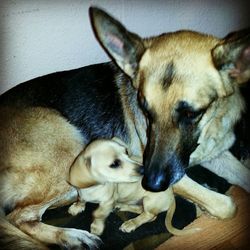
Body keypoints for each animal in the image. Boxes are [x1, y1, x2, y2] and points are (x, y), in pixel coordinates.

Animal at [67, 139, 198, 236]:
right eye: (115, 164)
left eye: (126, 152)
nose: (144, 170)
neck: (93, 187)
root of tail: (172, 196)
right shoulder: (81, 193)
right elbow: (81, 199)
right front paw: (77, 207)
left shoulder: (107, 202)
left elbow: (100, 214)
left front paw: (96, 226)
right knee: (141, 210)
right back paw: (121, 206)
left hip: (150, 201)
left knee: (150, 216)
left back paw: (131, 223)